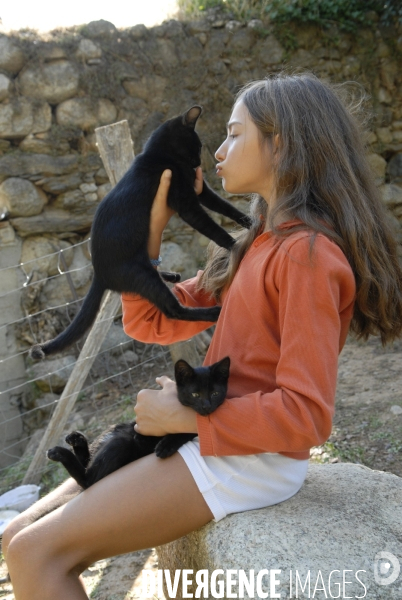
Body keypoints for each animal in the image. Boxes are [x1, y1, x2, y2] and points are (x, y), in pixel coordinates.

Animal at [30, 105, 251, 358]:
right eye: (197, 145)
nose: (198, 161)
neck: (160, 156)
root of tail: (99, 274)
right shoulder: (187, 204)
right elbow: (213, 228)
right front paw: (235, 246)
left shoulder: (200, 190)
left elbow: (226, 206)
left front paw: (250, 222)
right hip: (141, 274)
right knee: (173, 310)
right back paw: (212, 311)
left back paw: (170, 275)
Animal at [46, 356, 229, 488]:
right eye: (195, 394)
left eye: (215, 394)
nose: (206, 406)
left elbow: (185, 431)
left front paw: (165, 445)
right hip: (113, 432)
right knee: (87, 462)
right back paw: (76, 440)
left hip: (120, 444)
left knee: (87, 480)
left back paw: (59, 452)